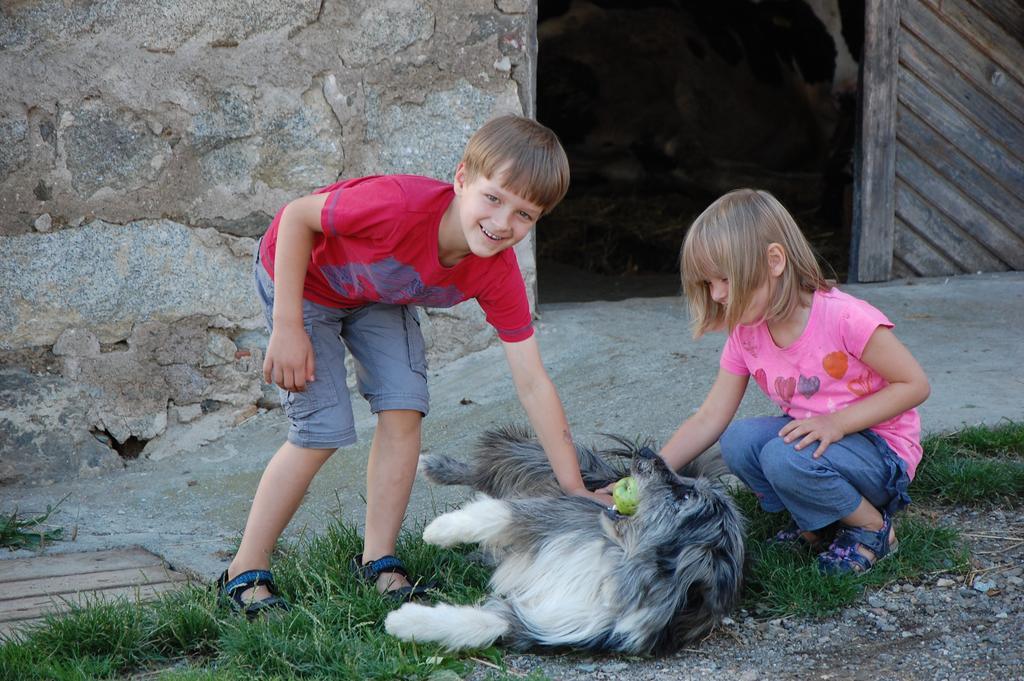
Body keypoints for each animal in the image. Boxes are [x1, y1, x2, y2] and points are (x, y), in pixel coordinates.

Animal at [385, 426, 745, 655]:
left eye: (685, 495)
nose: (646, 453)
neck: (622, 568)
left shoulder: (551, 623)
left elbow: (480, 624)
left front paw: (404, 621)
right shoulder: (563, 514)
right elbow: (500, 514)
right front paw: (439, 530)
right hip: (562, 469)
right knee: (491, 469)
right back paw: (433, 466)